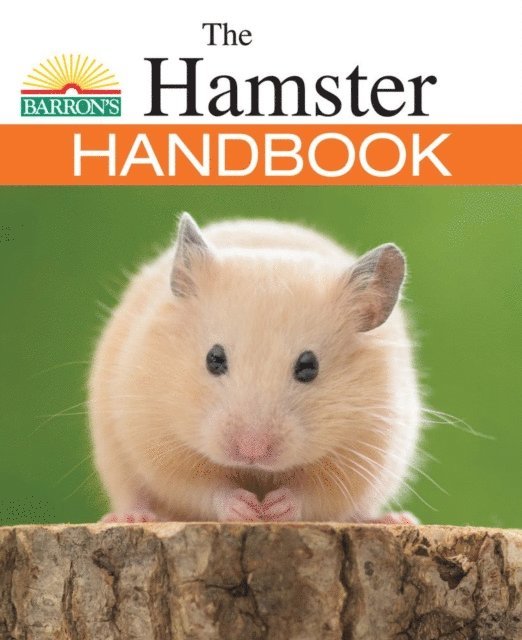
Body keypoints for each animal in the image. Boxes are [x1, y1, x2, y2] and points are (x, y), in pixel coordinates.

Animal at [89, 214, 421, 523]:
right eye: (214, 358)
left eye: (308, 366)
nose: (251, 451)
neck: (256, 472)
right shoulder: (157, 443)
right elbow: (203, 488)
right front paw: (246, 508)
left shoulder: (364, 453)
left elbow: (313, 496)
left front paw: (273, 508)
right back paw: (131, 517)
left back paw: (395, 518)